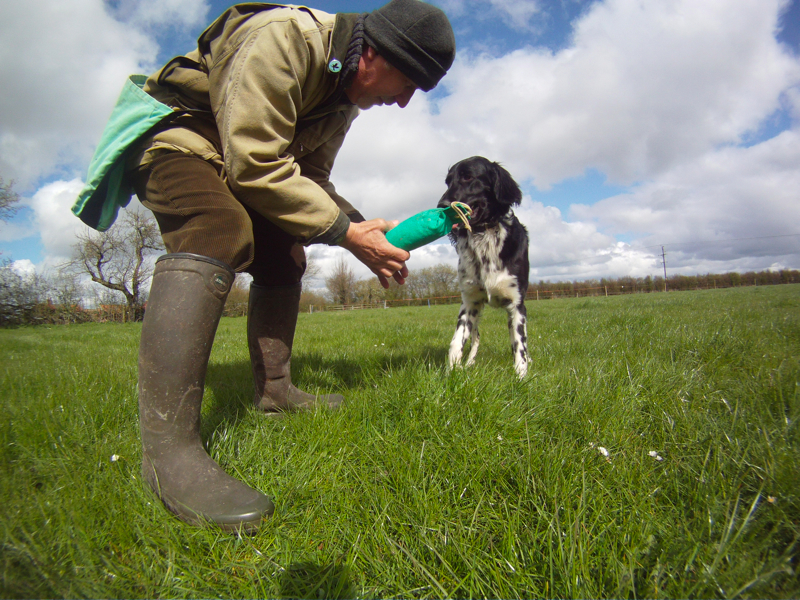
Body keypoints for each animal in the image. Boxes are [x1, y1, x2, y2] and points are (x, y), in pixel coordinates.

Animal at [438, 157, 532, 378]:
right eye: (447, 181)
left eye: (468, 177)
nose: (441, 206)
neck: (484, 236)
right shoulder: (469, 302)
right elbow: (456, 342)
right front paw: (453, 372)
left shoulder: (517, 304)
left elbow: (520, 346)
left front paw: (521, 377)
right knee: (476, 338)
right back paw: (469, 363)